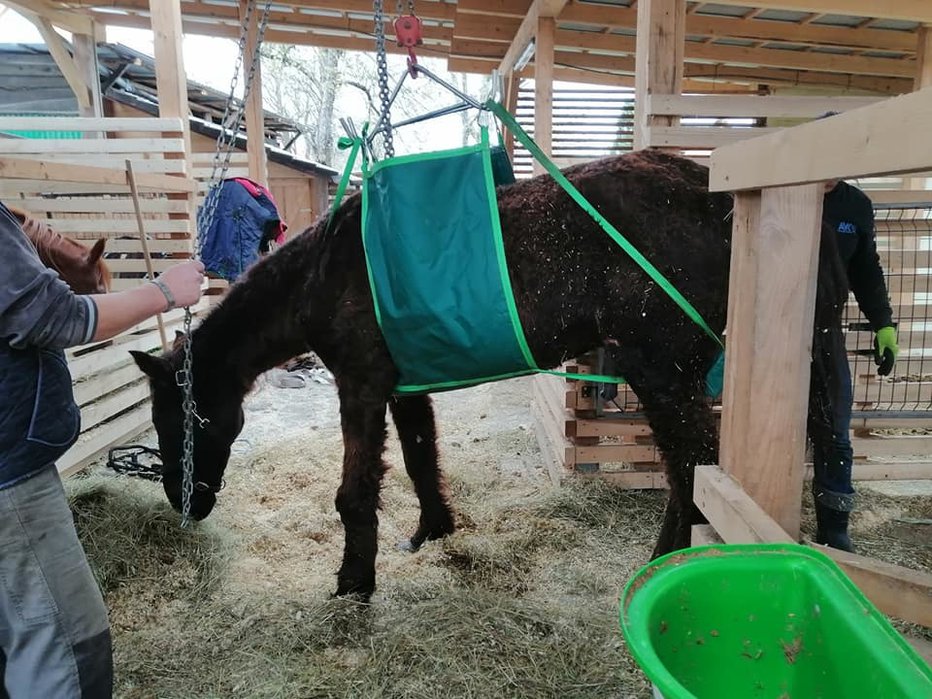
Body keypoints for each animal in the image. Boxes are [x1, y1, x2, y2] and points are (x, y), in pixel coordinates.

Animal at [133, 152, 852, 600]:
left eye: (188, 416)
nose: (186, 502)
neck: (324, 272)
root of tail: (722, 195)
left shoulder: (360, 385)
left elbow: (354, 494)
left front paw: (353, 583)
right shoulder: (402, 385)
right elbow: (420, 457)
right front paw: (433, 530)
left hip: (663, 373)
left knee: (690, 470)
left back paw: (662, 569)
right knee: (691, 470)